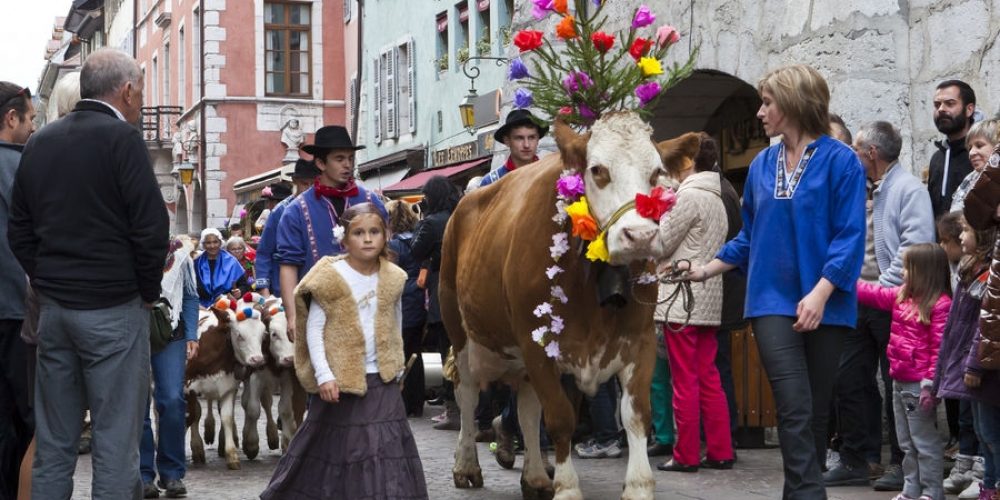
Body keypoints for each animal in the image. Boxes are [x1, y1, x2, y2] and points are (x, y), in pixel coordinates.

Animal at [442, 113, 700, 500]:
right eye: (597, 170)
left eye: (656, 173)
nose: (640, 236)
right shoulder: (538, 345)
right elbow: (561, 419)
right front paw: (567, 488)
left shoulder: (639, 341)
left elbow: (636, 413)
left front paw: (639, 485)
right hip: (462, 334)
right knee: (468, 396)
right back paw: (466, 466)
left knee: (527, 408)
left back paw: (535, 477)